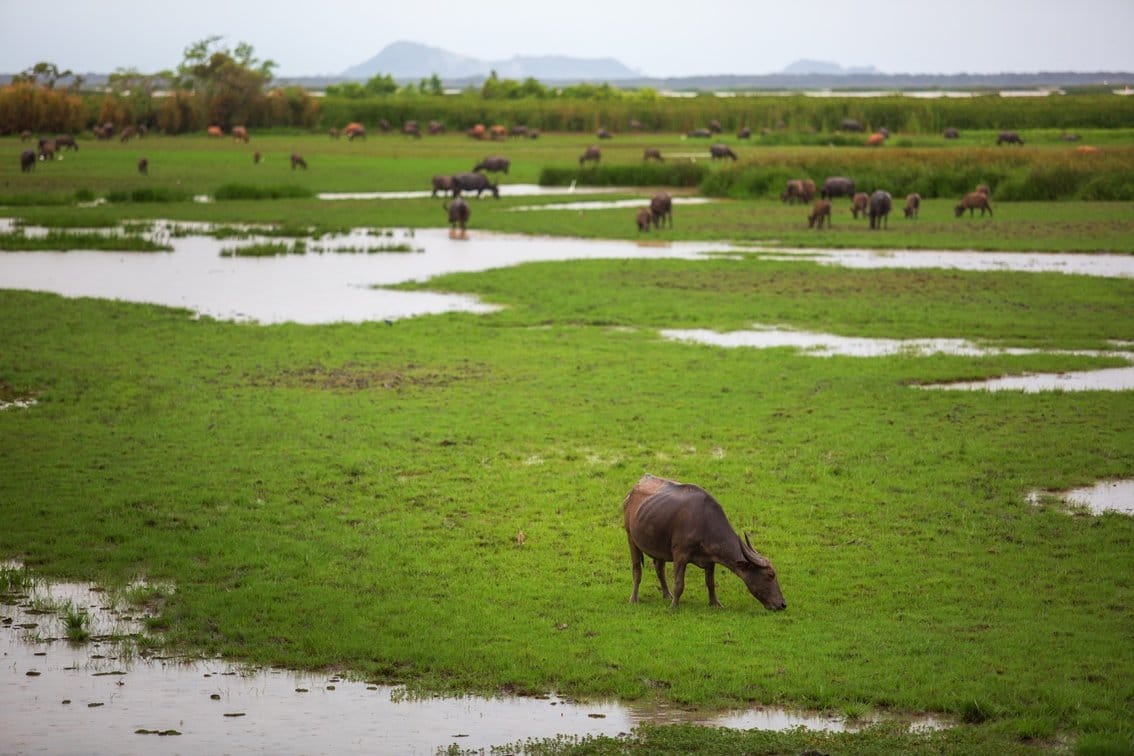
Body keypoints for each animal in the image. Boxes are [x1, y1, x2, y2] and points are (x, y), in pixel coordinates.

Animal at [623, 474, 786, 611]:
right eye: (770, 575)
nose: (782, 604)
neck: (704, 522)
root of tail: (633, 490)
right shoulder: (680, 555)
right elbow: (679, 583)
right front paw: (674, 606)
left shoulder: (710, 559)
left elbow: (710, 582)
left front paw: (715, 603)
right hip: (631, 538)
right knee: (637, 570)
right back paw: (633, 599)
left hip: (658, 547)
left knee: (659, 568)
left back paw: (667, 594)